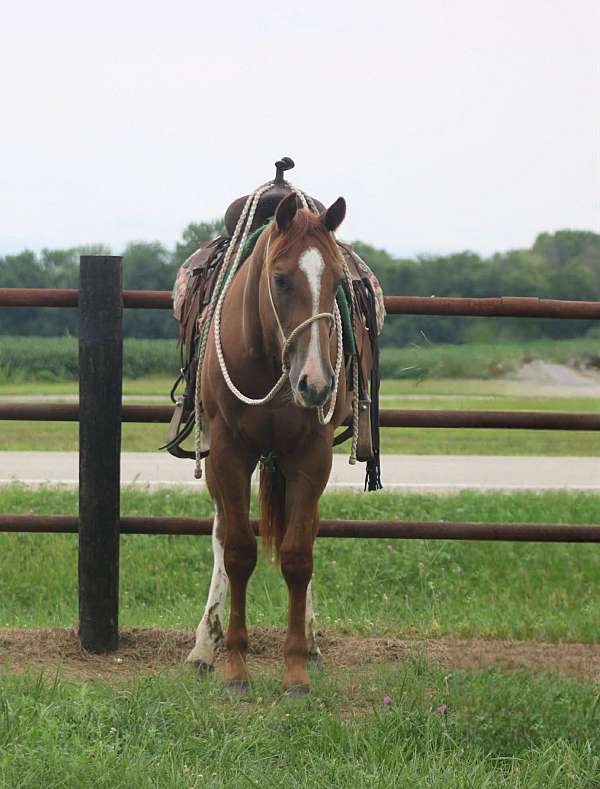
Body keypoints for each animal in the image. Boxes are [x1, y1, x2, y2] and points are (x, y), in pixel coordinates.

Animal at [184, 191, 350, 694]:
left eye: (337, 280)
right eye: (280, 278)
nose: (316, 383)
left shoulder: (312, 457)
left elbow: (298, 556)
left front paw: (295, 671)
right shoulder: (228, 455)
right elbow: (238, 552)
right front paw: (236, 668)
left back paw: (311, 642)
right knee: (221, 535)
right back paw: (205, 645)